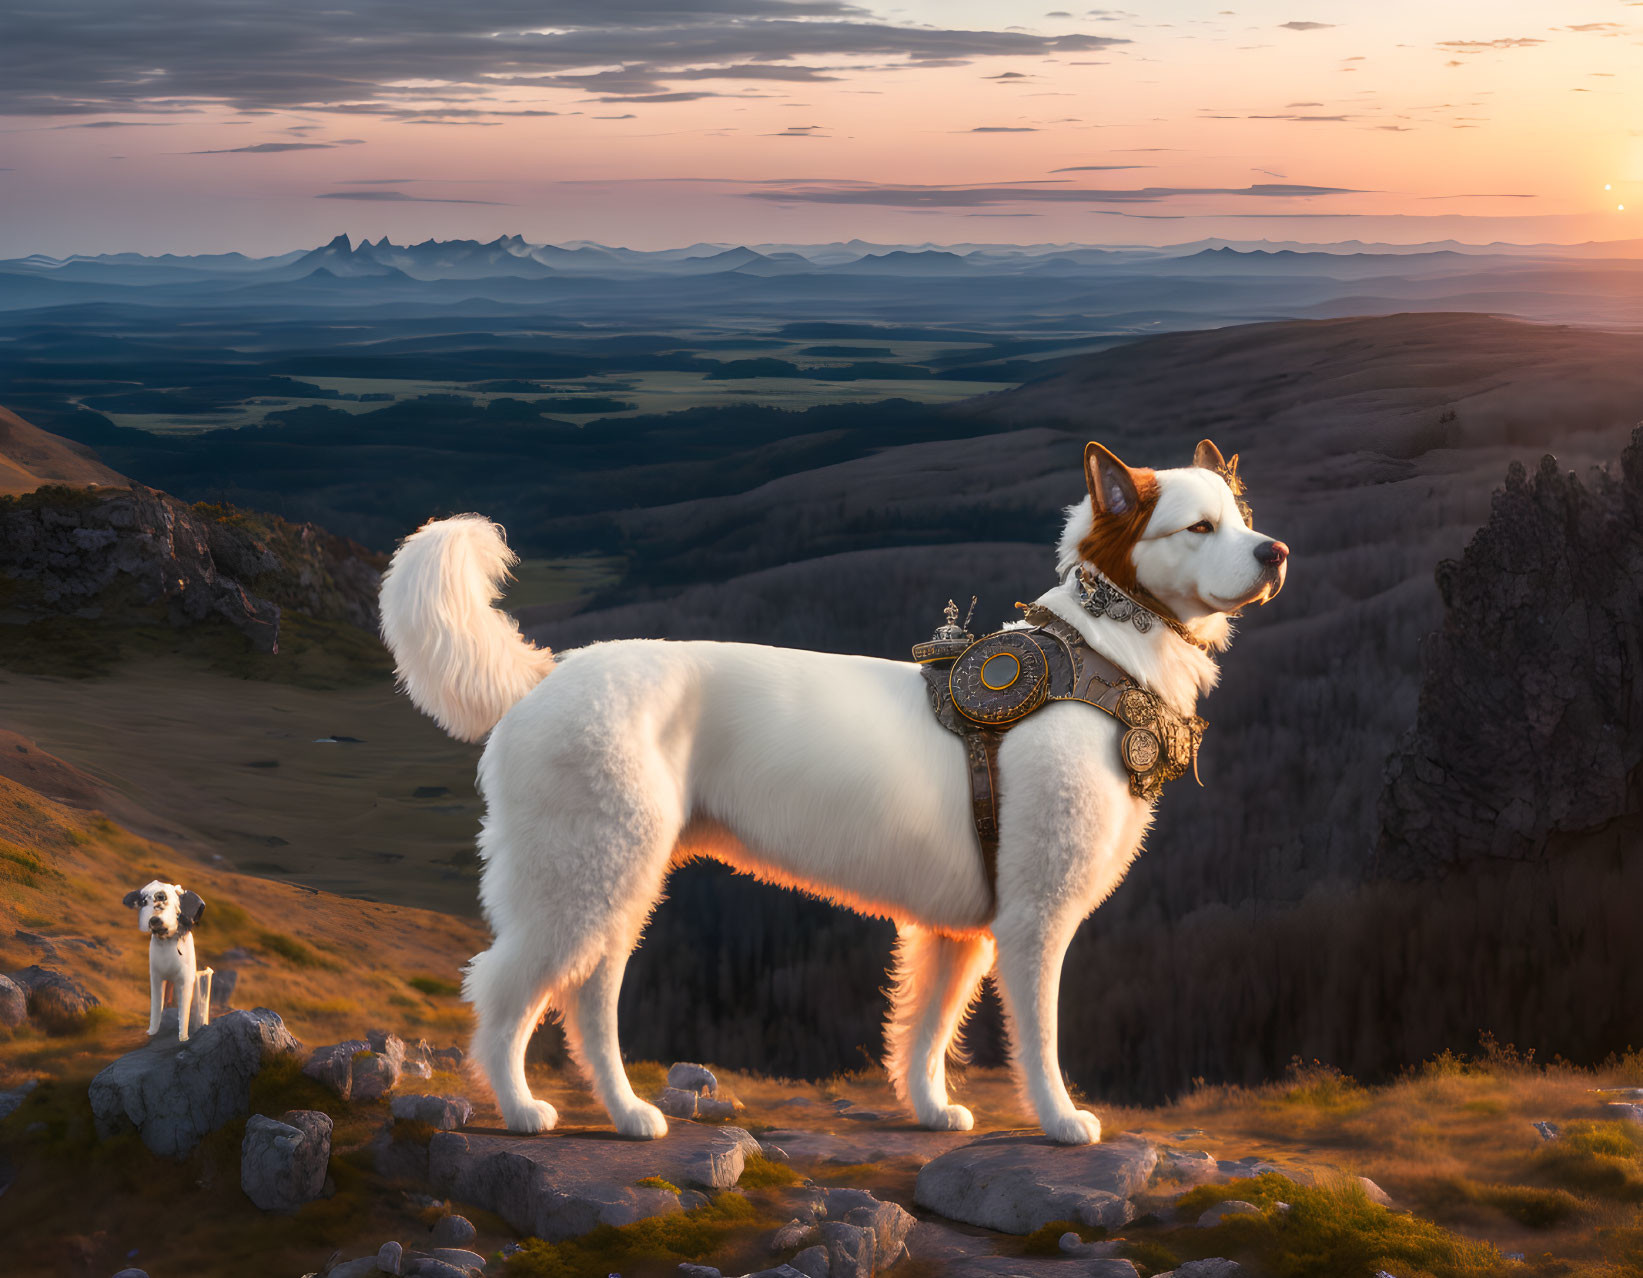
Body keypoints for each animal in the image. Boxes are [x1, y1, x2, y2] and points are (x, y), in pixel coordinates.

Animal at [124, 880, 211, 1038]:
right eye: (144, 901)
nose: (154, 920)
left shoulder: (186, 980)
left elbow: (184, 1013)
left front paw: (183, 1037)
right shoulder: (155, 976)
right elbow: (156, 1006)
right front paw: (151, 1032)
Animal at [381, 440, 1281, 1143]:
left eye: (1240, 518)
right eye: (1198, 527)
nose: (1274, 553)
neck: (1098, 662)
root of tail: (547, 676)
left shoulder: (955, 931)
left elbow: (924, 1027)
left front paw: (928, 1109)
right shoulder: (1034, 919)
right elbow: (1038, 1032)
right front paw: (1060, 1120)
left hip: (616, 884)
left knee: (586, 999)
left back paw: (629, 1113)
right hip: (581, 879)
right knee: (503, 987)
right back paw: (520, 1109)